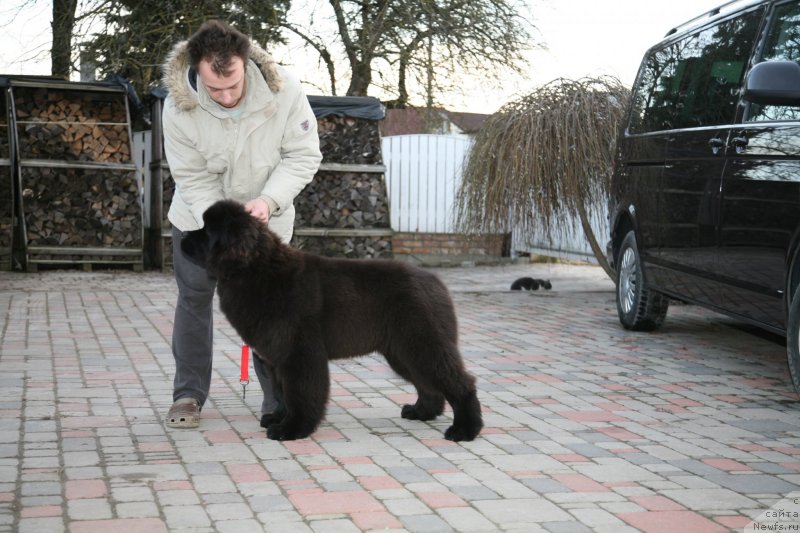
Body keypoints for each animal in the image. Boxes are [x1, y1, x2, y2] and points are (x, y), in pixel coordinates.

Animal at [181, 200, 482, 440]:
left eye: (206, 230)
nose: (183, 237)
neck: (255, 269)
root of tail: (436, 282)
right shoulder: (279, 354)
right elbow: (281, 391)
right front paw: (278, 417)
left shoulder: (299, 353)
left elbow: (299, 393)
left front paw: (292, 429)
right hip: (402, 351)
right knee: (428, 383)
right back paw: (421, 411)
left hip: (422, 343)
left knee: (459, 382)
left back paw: (465, 429)